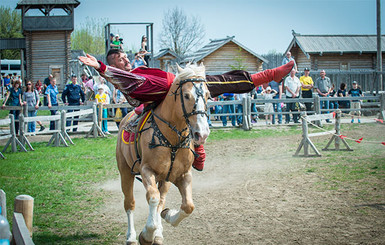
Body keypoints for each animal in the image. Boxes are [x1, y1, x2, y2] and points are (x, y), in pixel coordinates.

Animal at [116, 63, 210, 245]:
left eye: (208, 95)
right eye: (186, 95)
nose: (201, 133)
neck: (172, 140)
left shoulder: (183, 175)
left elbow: (188, 206)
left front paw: (167, 216)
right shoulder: (146, 170)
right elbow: (152, 198)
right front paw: (146, 235)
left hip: (164, 179)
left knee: (161, 200)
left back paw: (158, 233)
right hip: (125, 172)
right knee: (129, 203)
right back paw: (131, 236)